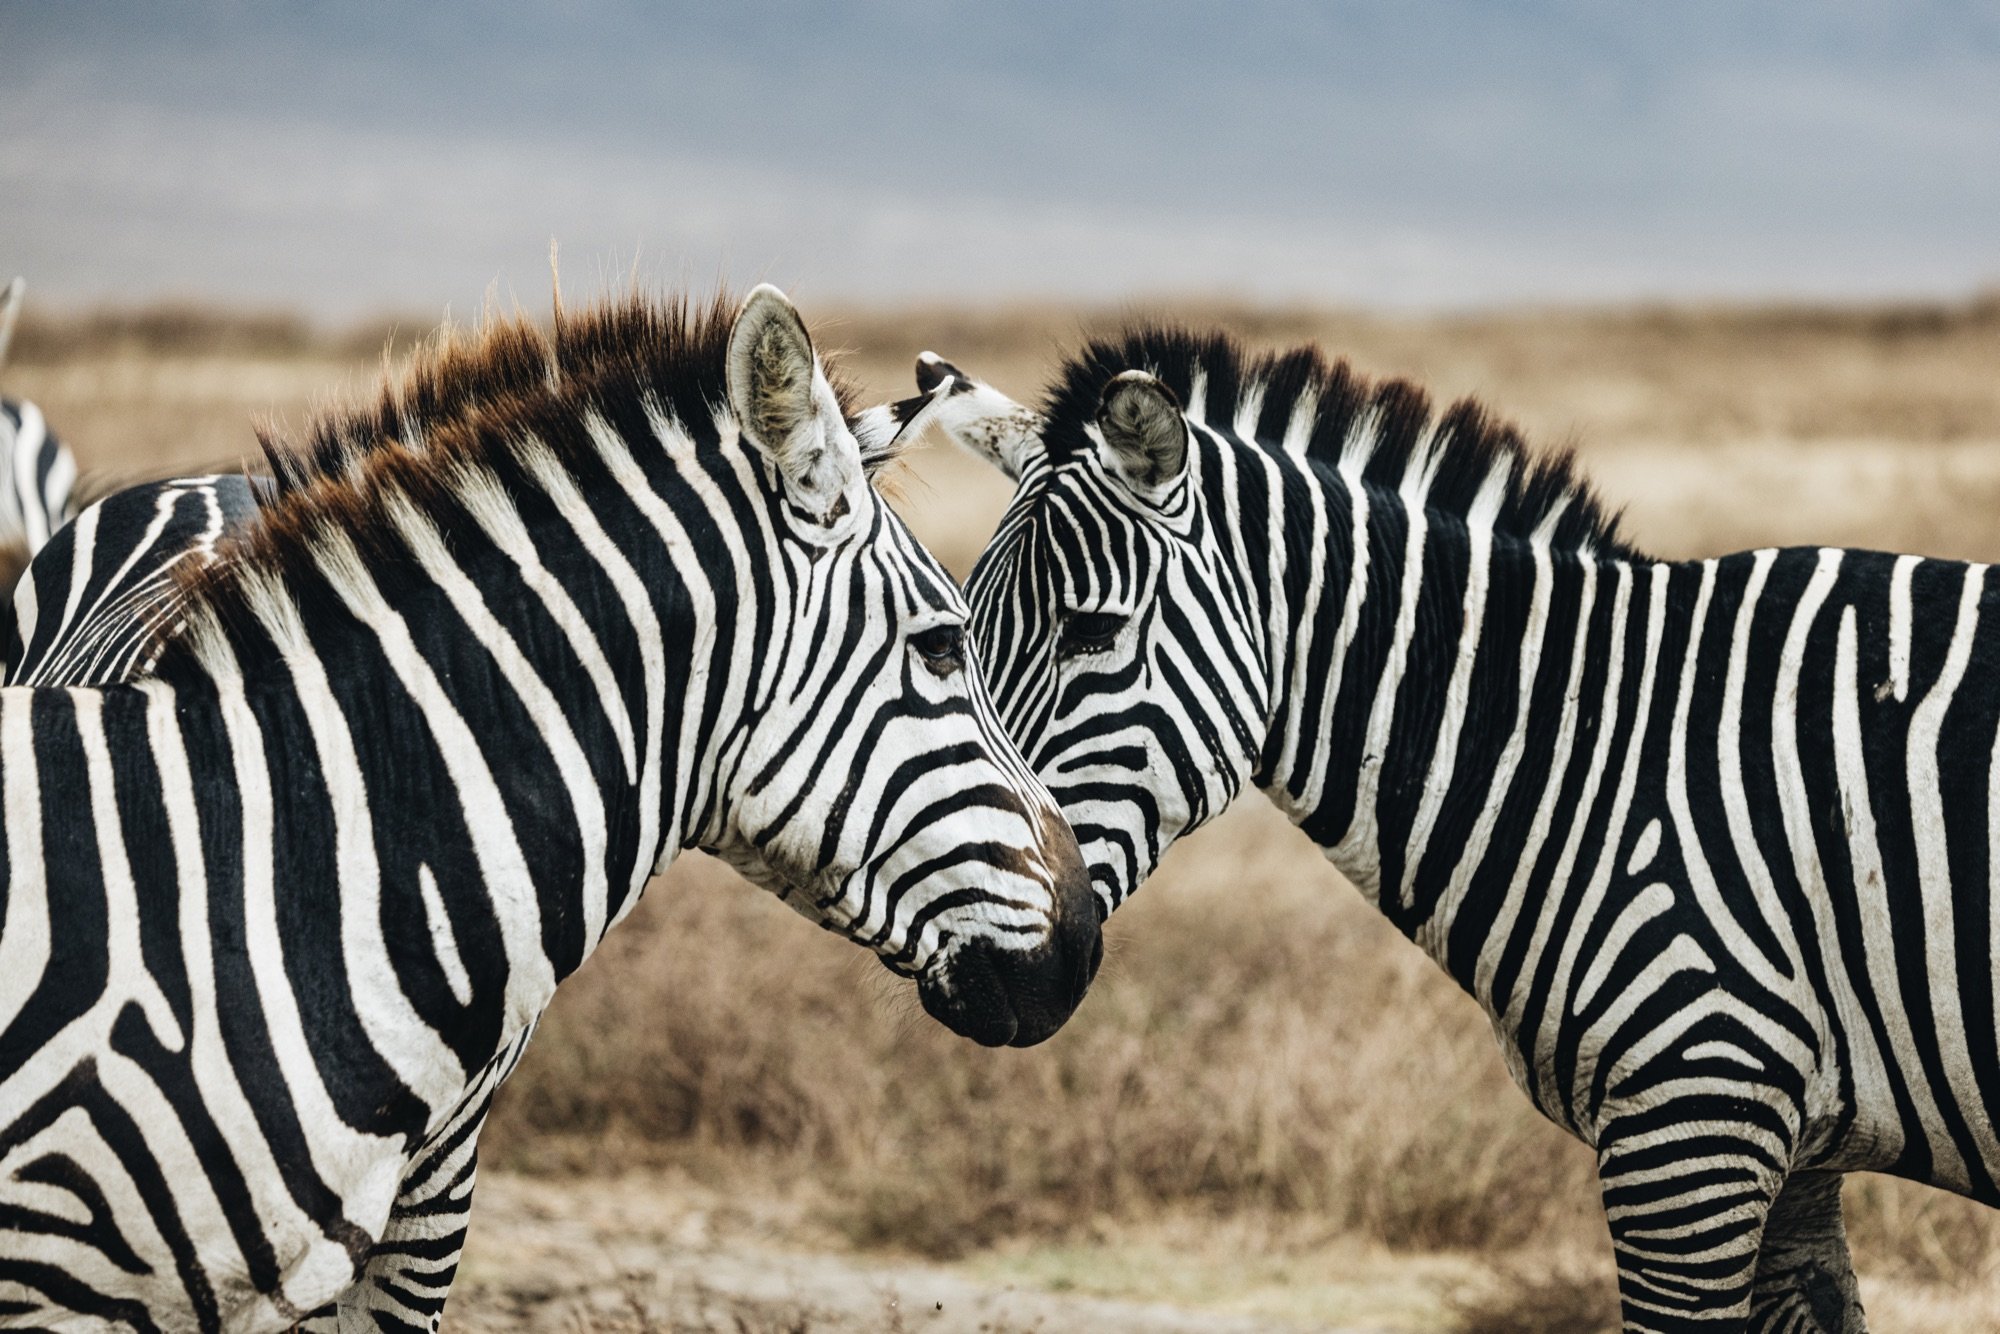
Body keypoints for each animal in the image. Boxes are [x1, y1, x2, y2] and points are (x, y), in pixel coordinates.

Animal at [925, 328, 2000, 1332]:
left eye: (1090, 632)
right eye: (955, 640)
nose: (980, 980)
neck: (1591, 748)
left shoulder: (1692, 1118)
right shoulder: (1794, 1158)